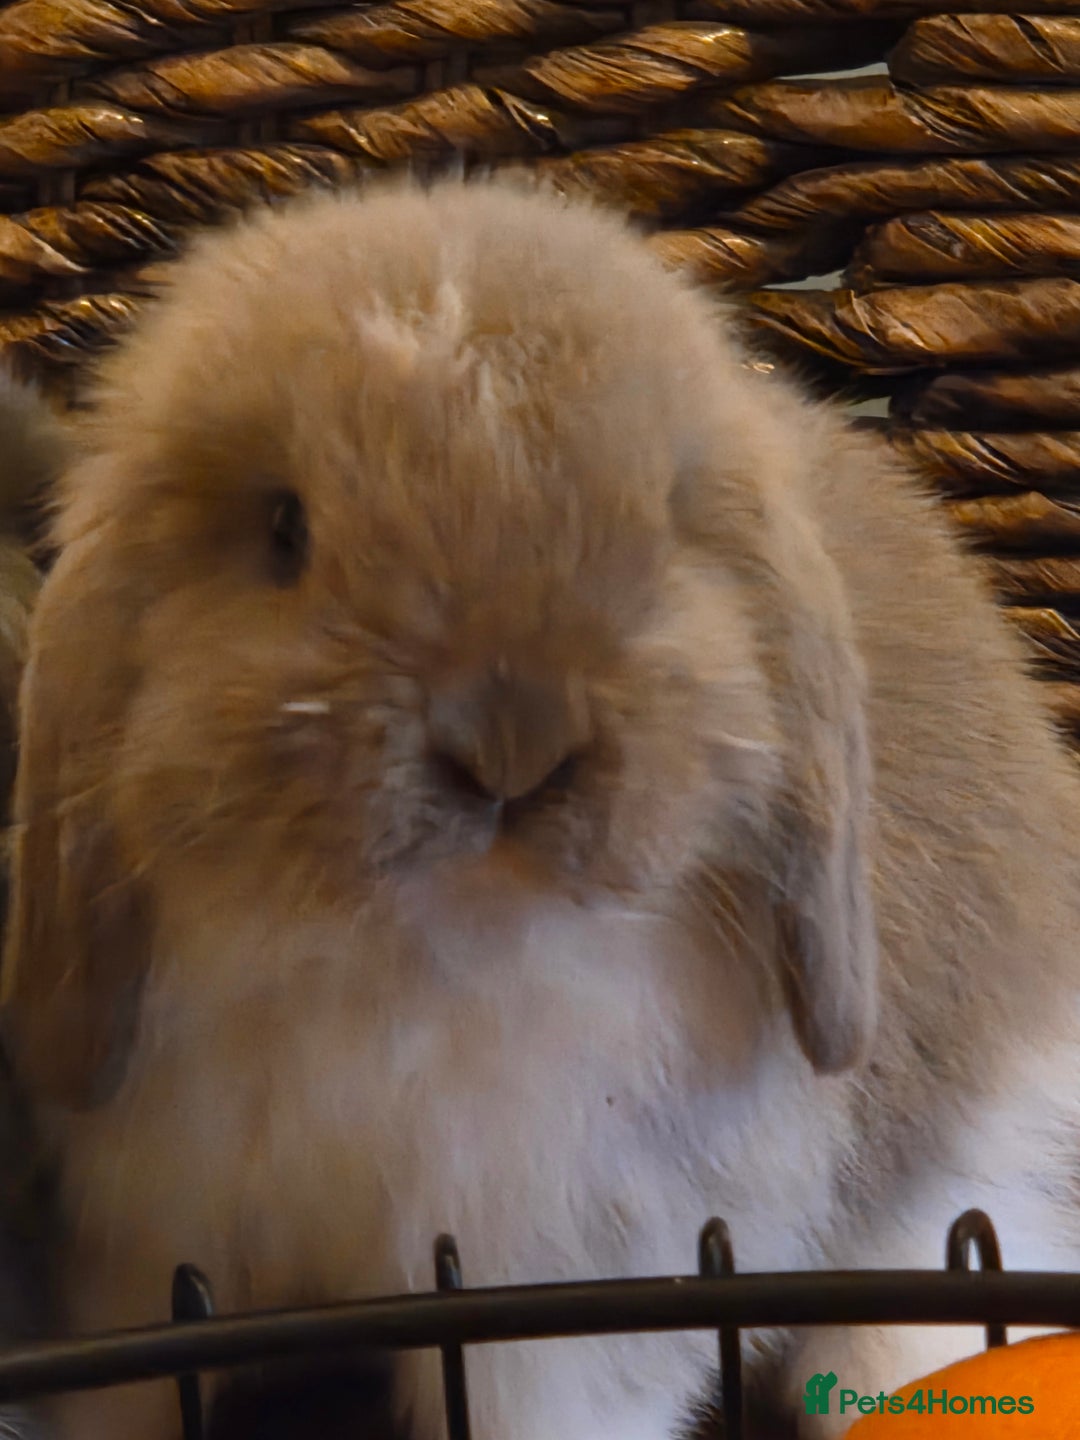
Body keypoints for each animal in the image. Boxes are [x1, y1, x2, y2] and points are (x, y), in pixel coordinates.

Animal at [5, 174, 1080, 1440]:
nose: (512, 743)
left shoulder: (560, 1298)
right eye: (284, 528)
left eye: (665, 521)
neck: (417, 968)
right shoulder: (151, 1250)